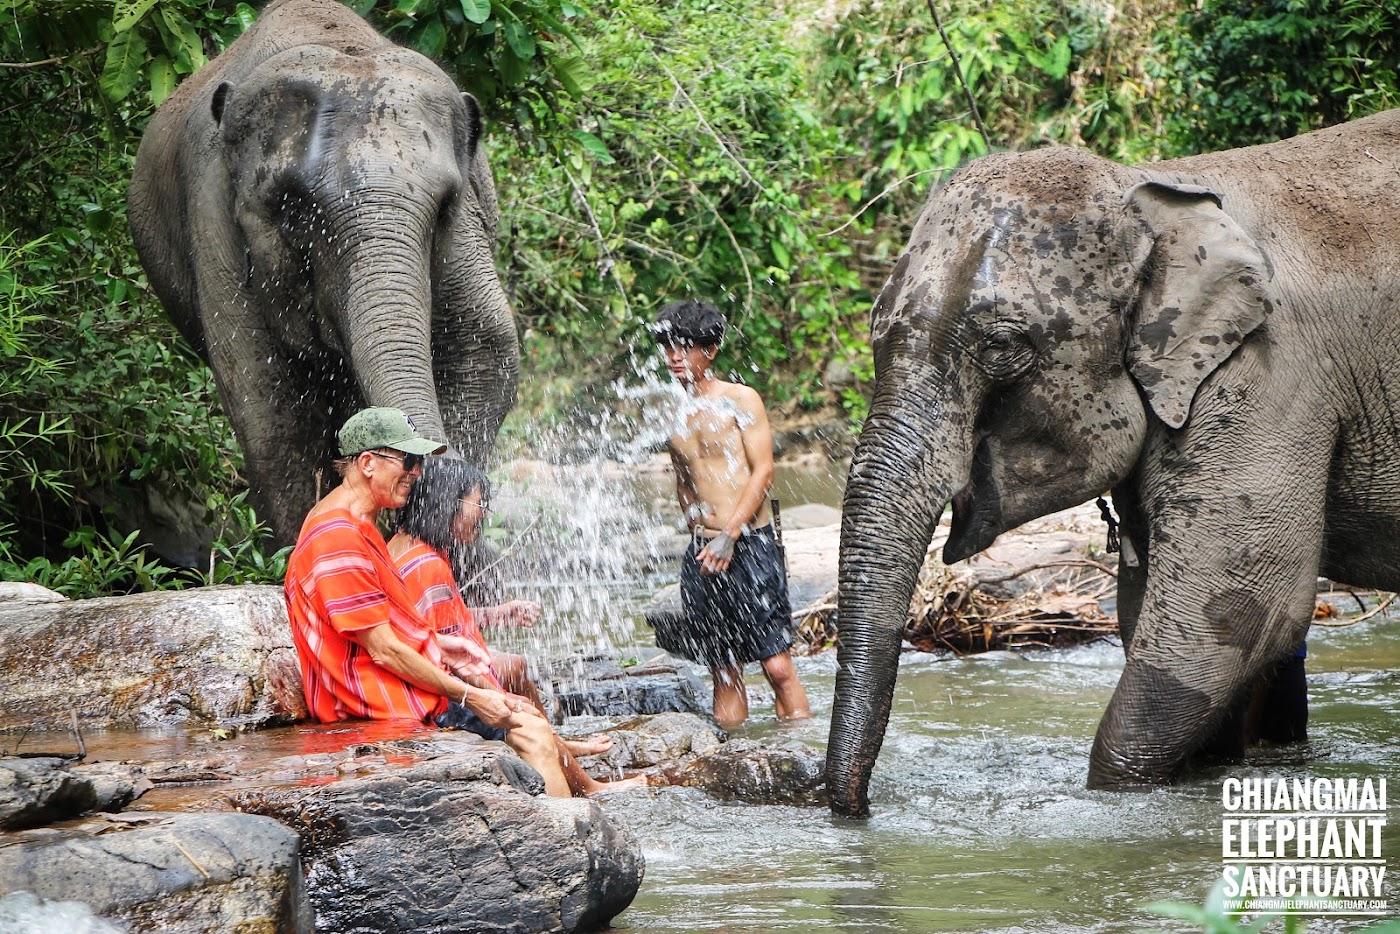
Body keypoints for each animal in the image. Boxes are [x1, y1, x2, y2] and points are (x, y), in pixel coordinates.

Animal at [128, 0, 518, 546]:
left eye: (445, 205)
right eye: (293, 207)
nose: (433, 471)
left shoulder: (468, 230)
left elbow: (483, 348)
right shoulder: (215, 222)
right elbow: (268, 403)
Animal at [826, 109, 1400, 816]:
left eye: (1002, 347)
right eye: (875, 332)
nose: (858, 812)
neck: (1153, 189)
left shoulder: (1271, 376)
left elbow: (1242, 607)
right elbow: (1145, 600)